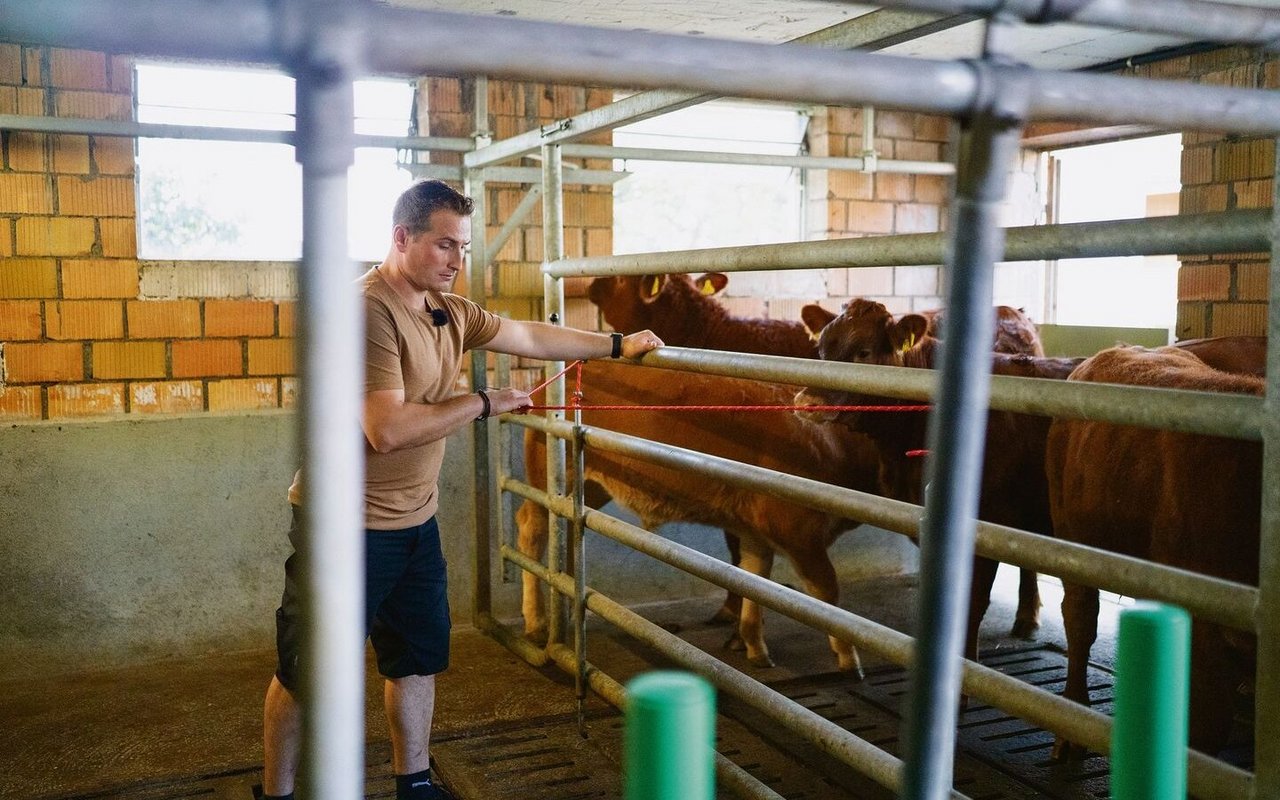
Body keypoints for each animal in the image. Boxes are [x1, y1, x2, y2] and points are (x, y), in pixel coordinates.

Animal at [514, 363, 885, 675]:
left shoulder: (756, 531)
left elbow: (755, 578)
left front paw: (754, 645)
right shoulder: (797, 530)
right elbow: (828, 595)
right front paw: (849, 660)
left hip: (589, 485)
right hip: (549, 479)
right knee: (533, 528)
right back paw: (537, 622)